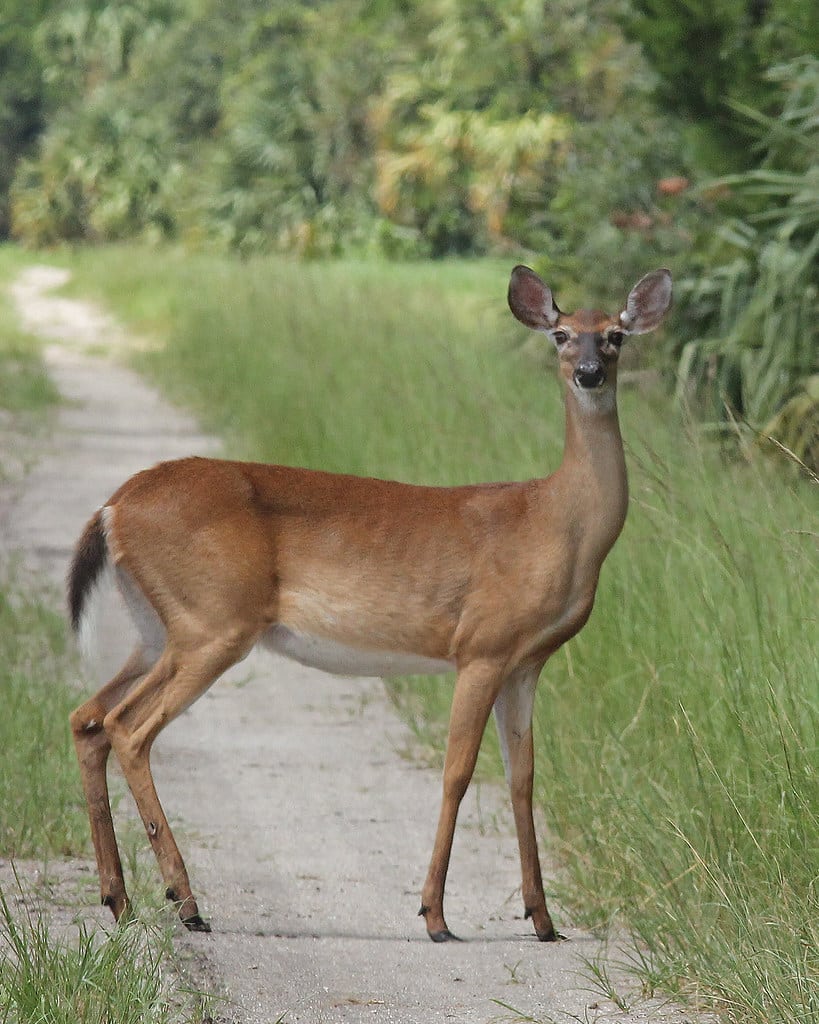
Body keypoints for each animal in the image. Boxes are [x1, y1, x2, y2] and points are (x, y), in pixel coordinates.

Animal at [67, 264, 672, 942]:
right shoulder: (482, 646)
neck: (556, 522)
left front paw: (542, 920)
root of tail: (114, 506)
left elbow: (523, 778)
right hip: (213, 621)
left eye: (616, 335)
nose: (589, 371)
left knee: (88, 717)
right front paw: (435, 914)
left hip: (158, 628)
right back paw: (185, 901)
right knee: (128, 727)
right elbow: (458, 772)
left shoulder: (526, 663)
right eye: (563, 334)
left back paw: (120, 898)